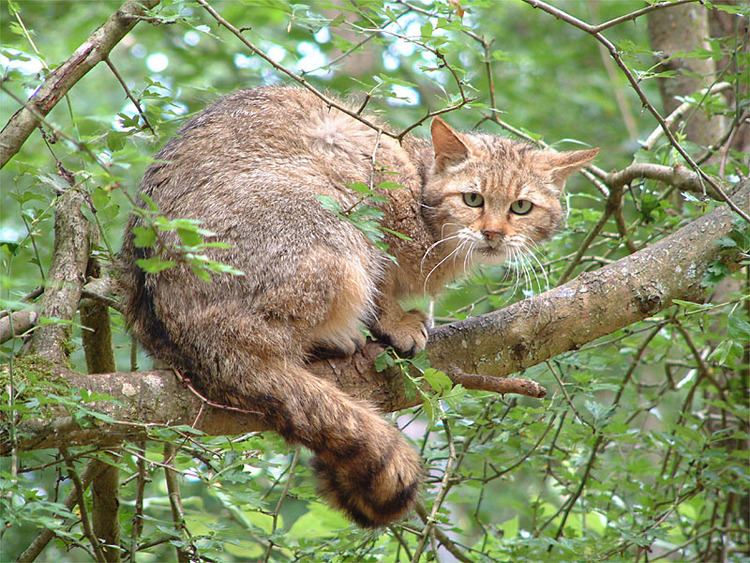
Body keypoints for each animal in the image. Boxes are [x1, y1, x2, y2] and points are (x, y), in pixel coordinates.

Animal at [119, 86, 600, 528]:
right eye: (473, 199)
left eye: (521, 207)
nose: (494, 234)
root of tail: (192, 339)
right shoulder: (377, 190)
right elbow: (385, 279)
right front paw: (395, 320)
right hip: (325, 226)